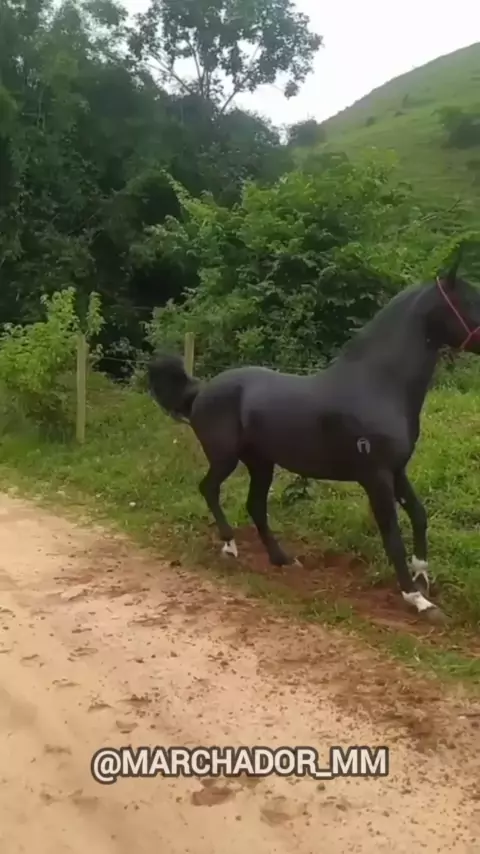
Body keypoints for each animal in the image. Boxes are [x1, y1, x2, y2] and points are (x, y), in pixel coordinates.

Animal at [147, 257, 480, 624]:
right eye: (471, 301)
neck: (377, 384)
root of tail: (201, 390)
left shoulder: (396, 470)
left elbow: (419, 516)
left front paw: (422, 576)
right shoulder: (376, 476)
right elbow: (392, 535)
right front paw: (417, 599)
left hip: (261, 463)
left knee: (255, 505)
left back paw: (282, 558)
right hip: (225, 458)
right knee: (209, 489)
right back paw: (230, 546)